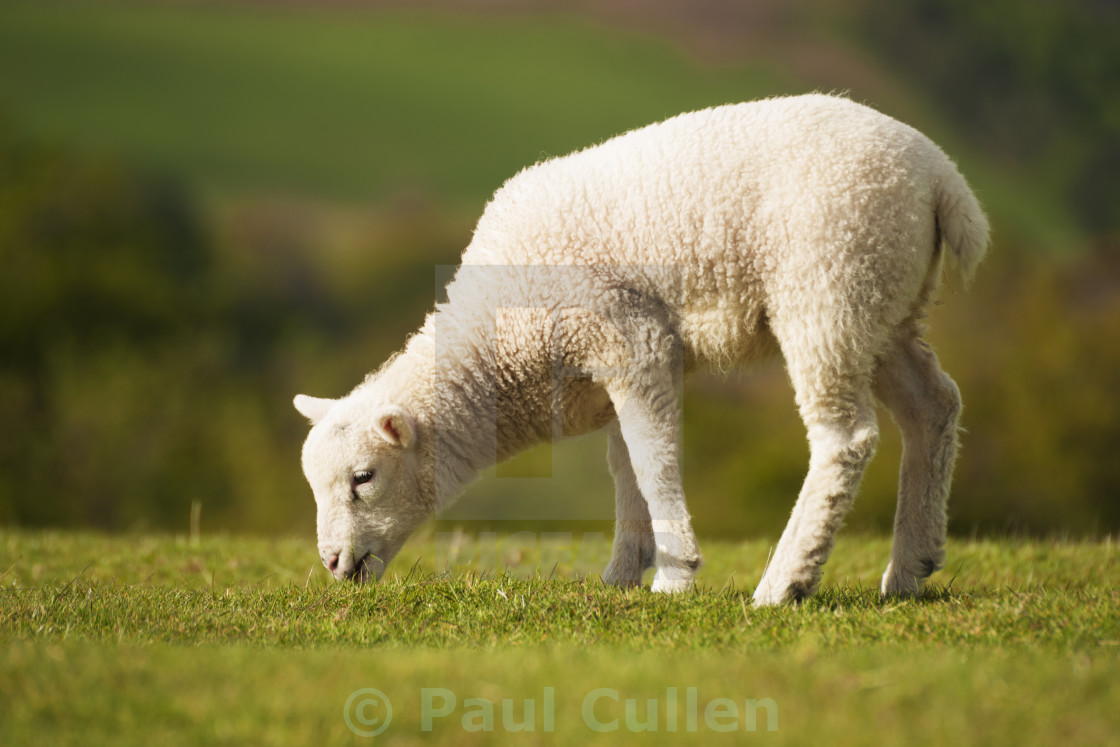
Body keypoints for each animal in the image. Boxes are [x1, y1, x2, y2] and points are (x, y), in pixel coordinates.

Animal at [293, 95, 985, 609]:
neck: (498, 340)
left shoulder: (627, 338)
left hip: (828, 287)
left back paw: (784, 583)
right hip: (885, 304)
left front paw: (675, 577)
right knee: (934, 406)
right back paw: (910, 567)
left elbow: (654, 463)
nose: (332, 563)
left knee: (846, 438)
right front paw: (624, 573)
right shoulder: (611, 367)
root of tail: (940, 176)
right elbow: (625, 466)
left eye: (363, 478)